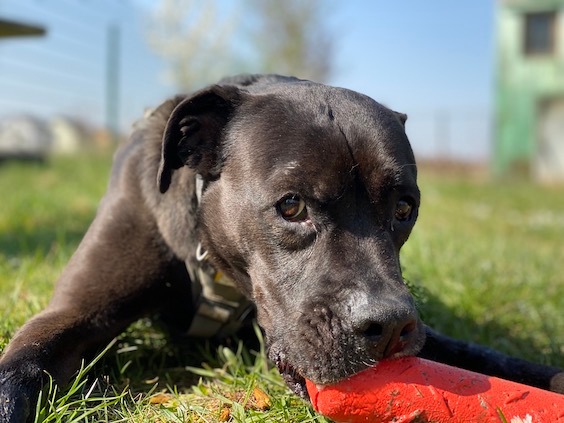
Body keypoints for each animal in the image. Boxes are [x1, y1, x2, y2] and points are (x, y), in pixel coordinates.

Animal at [1, 74, 564, 422]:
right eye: (291, 206)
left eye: (405, 209)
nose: (388, 326)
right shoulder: (74, 310)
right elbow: (20, 367)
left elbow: (487, 358)